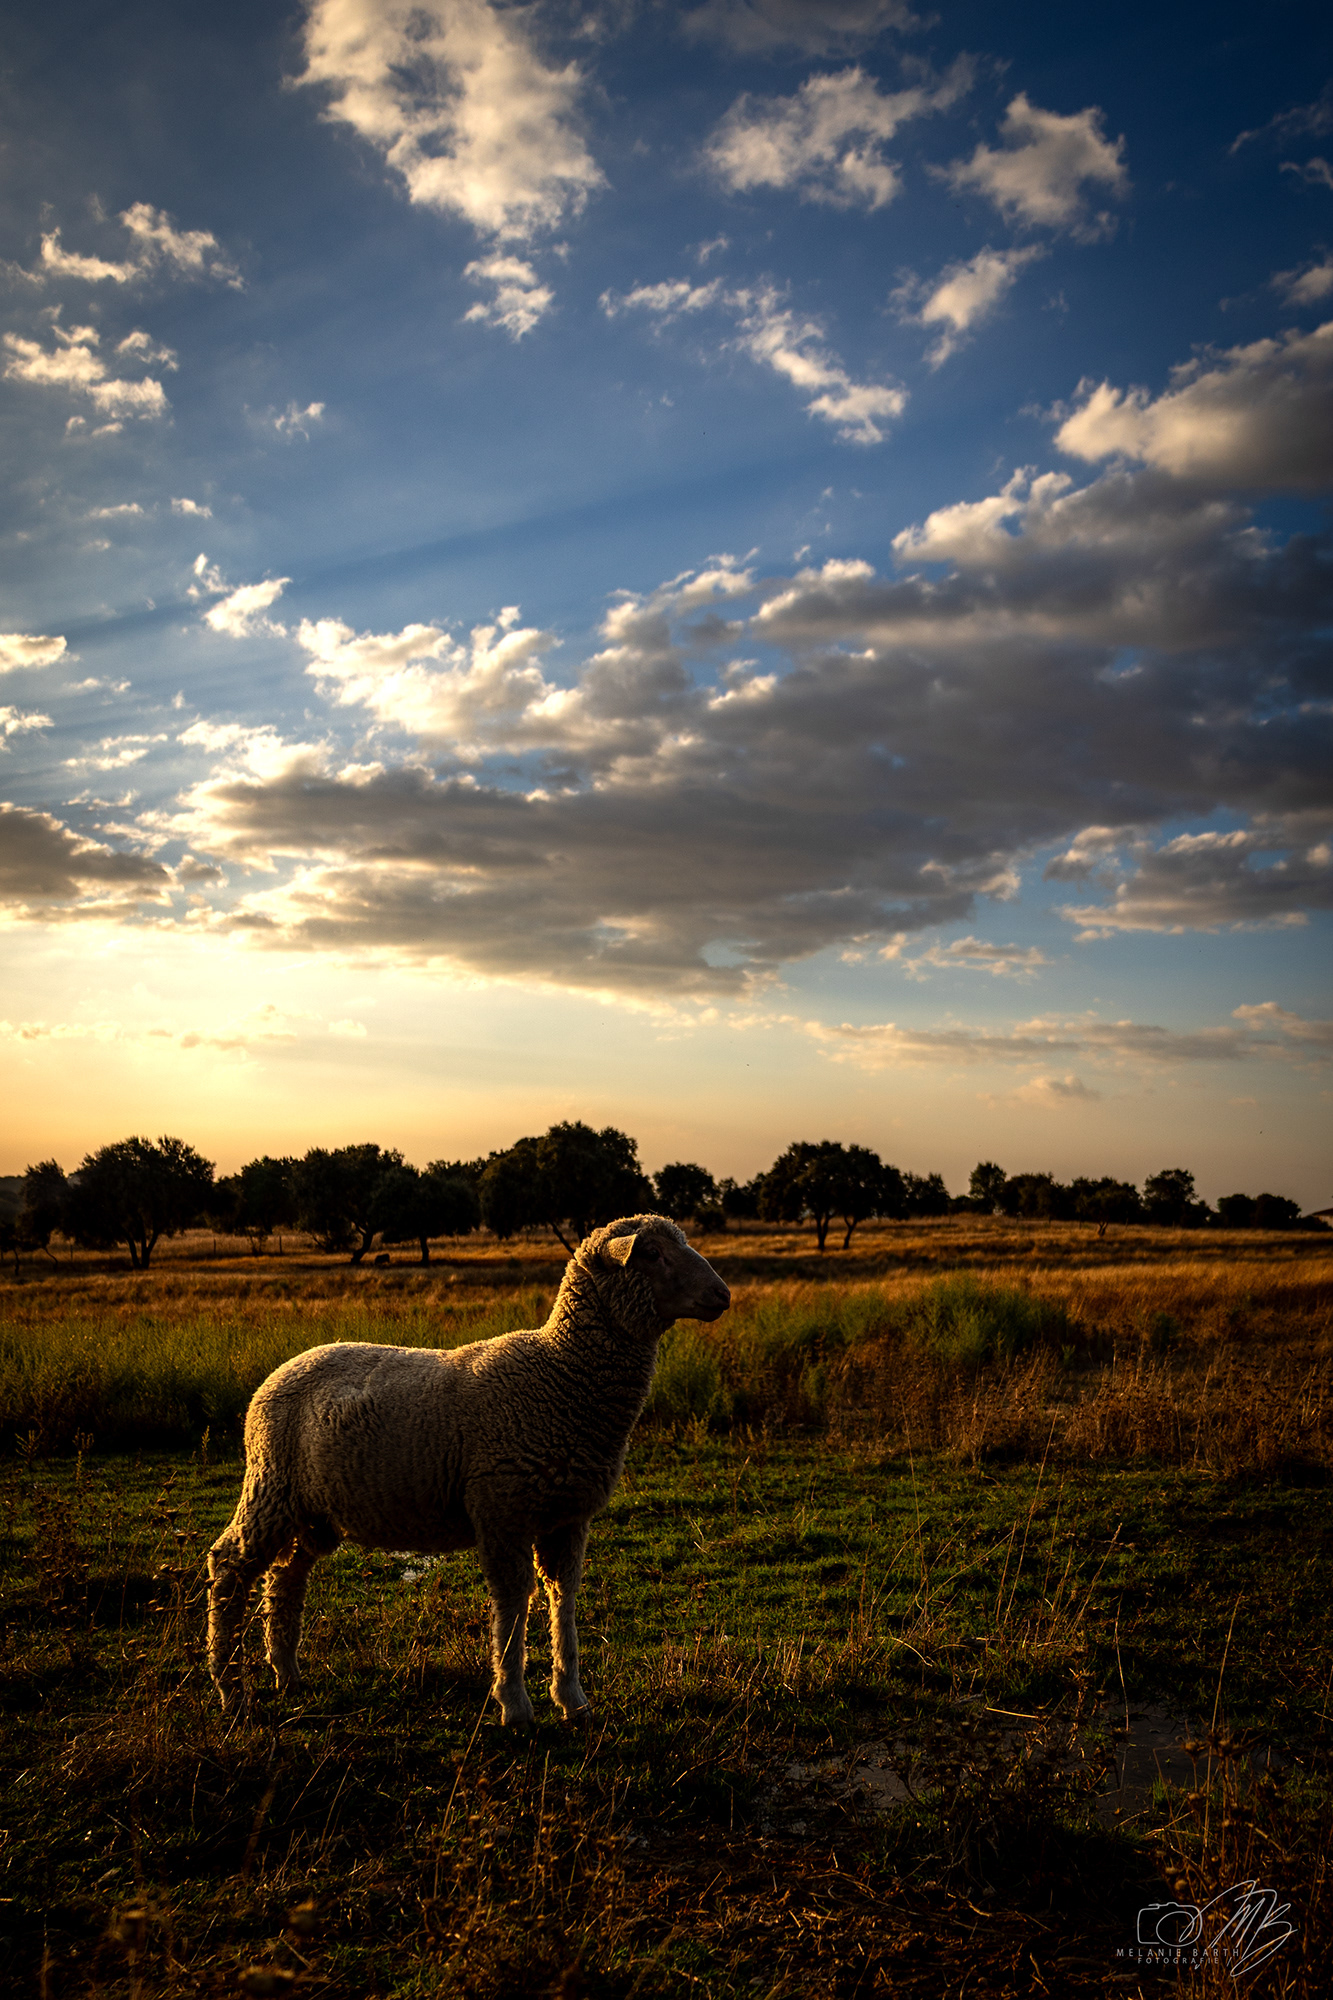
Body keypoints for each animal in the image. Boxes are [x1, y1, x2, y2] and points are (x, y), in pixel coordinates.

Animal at [206, 1213, 730, 1724]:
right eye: (652, 1253)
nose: (723, 1294)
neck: (561, 1375)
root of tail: (279, 1372)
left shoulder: (567, 1516)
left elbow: (564, 1598)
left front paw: (572, 1697)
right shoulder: (503, 1510)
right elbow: (513, 1602)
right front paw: (515, 1703)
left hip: (314, 1513)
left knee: (285, 1576)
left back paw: (286, 1671)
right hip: (271, 1486)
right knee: (230, 1567)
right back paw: (231, 1690)